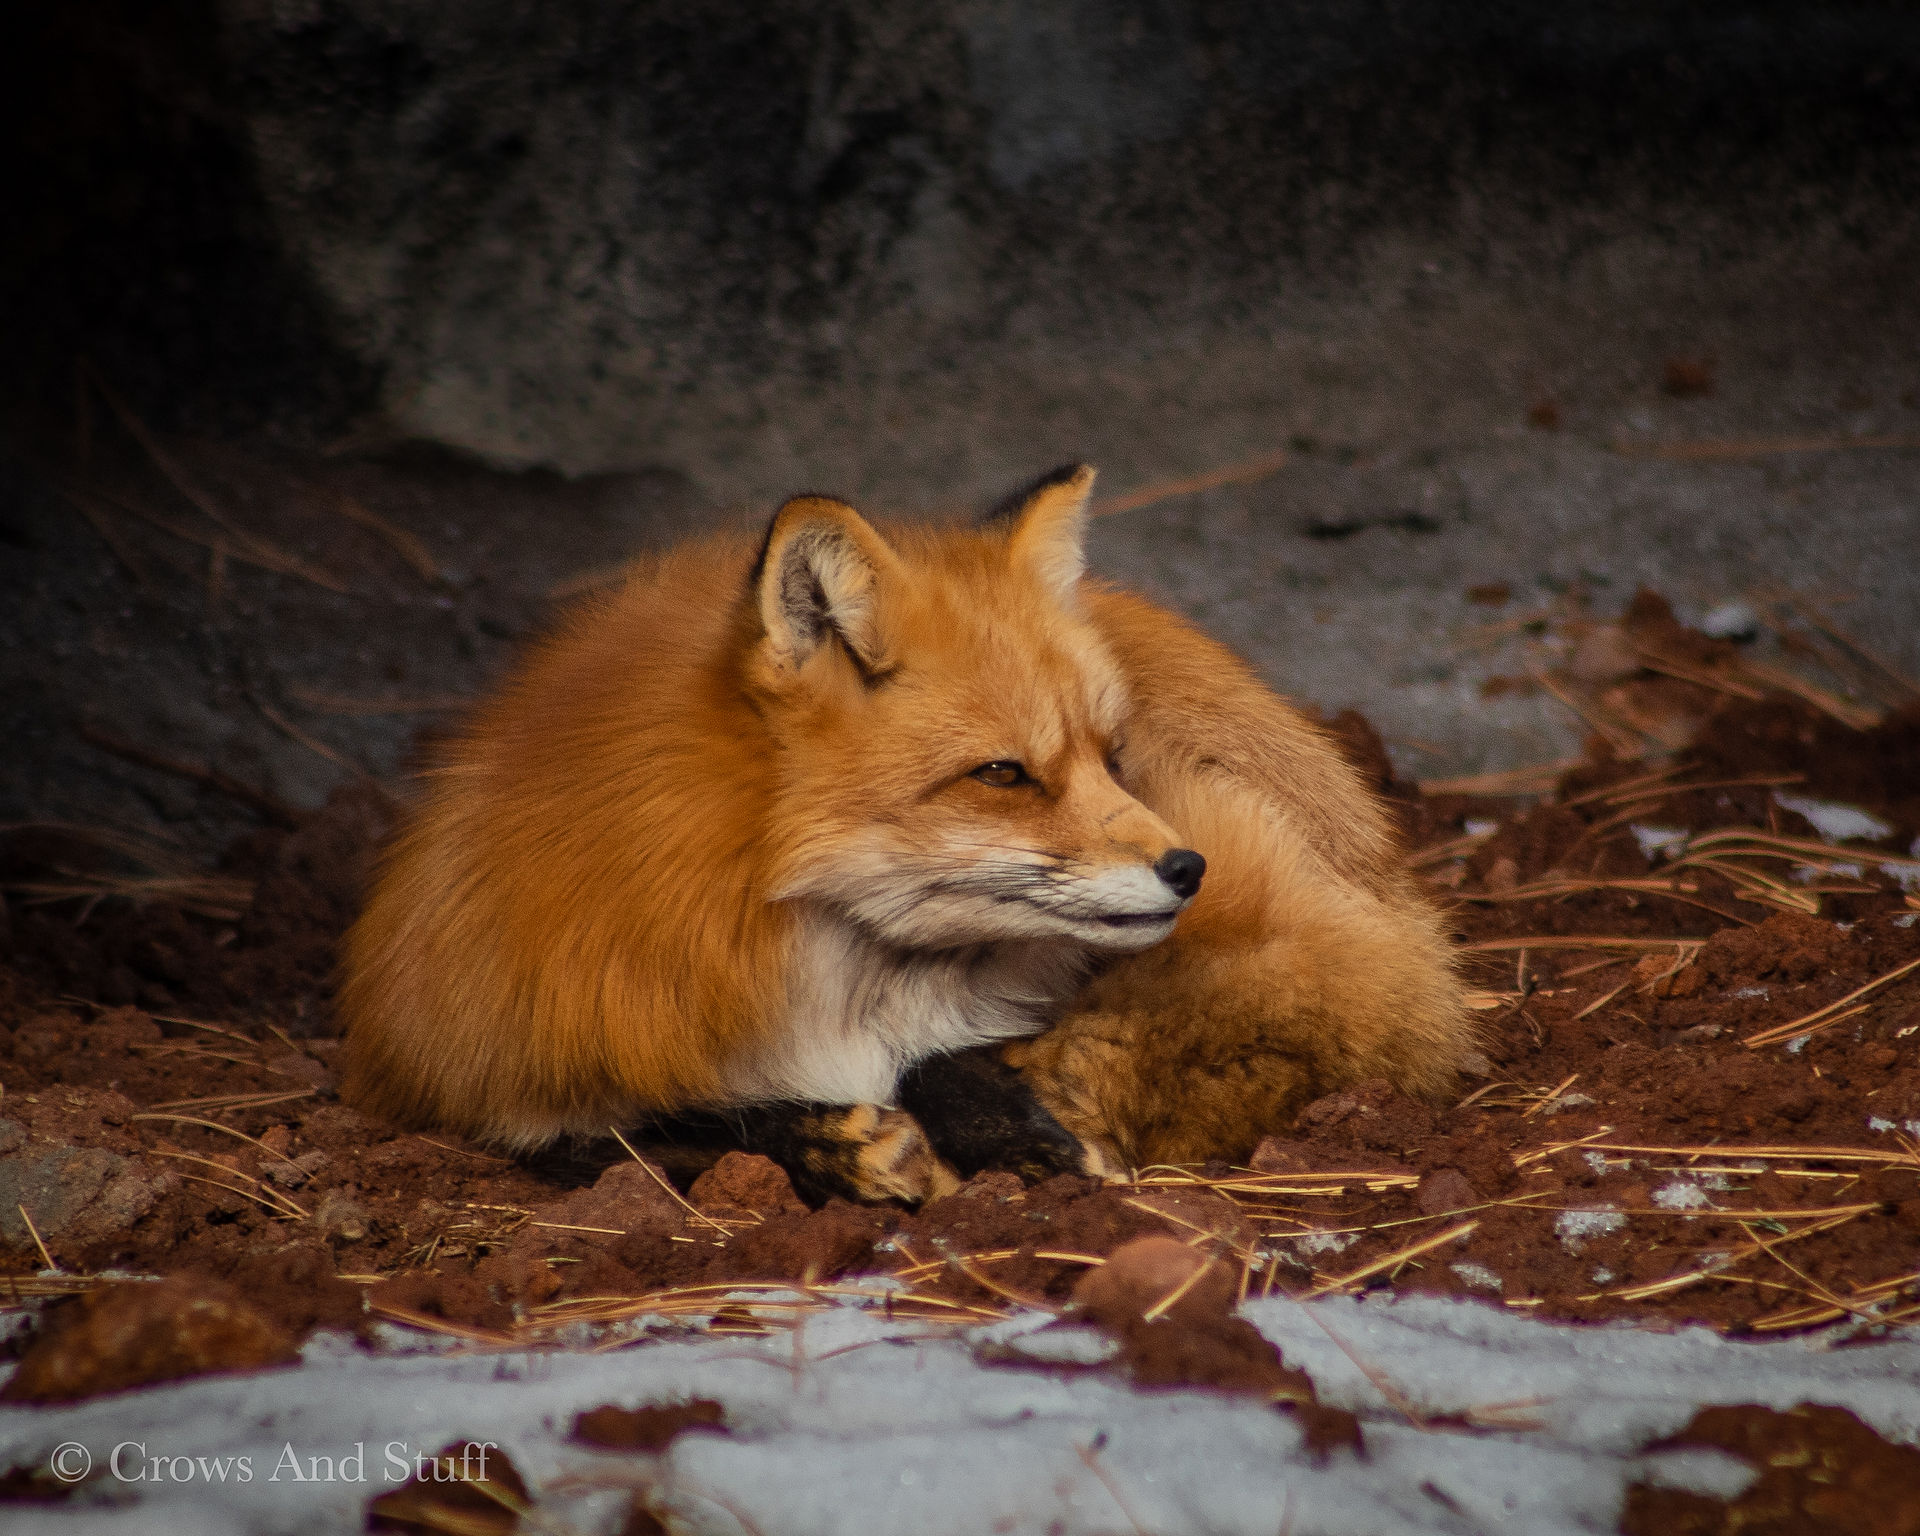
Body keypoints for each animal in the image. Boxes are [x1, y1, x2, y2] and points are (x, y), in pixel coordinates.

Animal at [339, 465, 1472, 1202]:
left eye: (1113, 754)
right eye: (1004, 774)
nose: (1188, 866)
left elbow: (957, 1058)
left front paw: (1027, 1137)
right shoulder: (513, 1067)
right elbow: (640, 1133)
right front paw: (834, 1146)